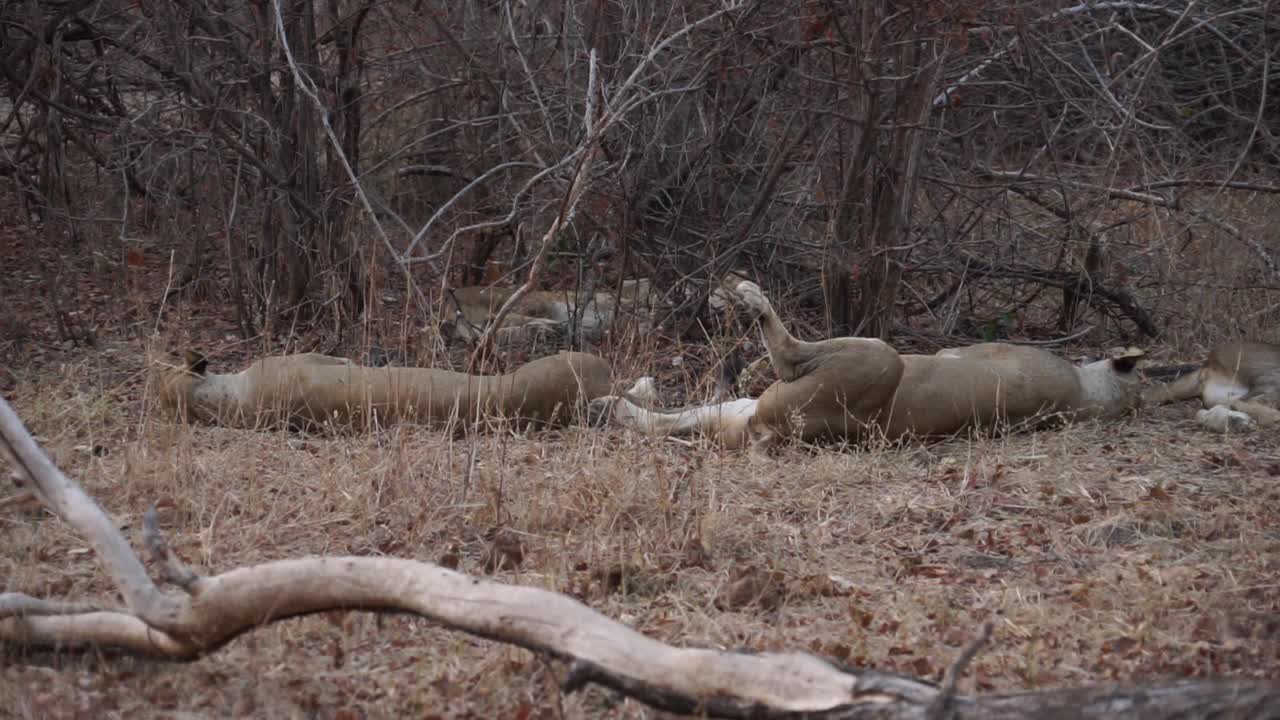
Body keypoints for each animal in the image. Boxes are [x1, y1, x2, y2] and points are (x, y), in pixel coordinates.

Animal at [588, 272, 1141, 448]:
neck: (1089, 394)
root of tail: (770, 431)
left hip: (879, 357)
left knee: (786, 355)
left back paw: (748, 296)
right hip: (740, 410)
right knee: (662, 420)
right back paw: (613, 404)